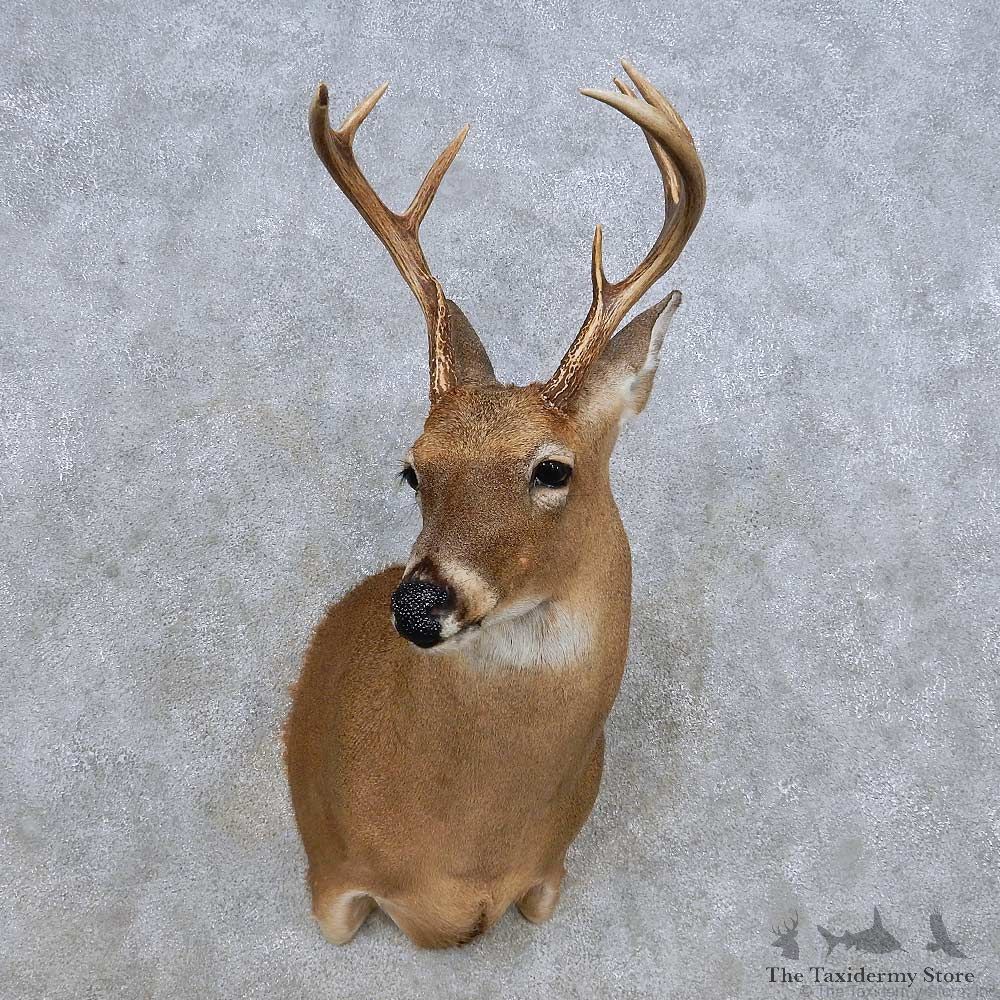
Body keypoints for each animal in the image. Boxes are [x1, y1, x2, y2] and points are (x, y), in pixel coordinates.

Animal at [283, 59, 706, 949]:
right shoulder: (331, 878)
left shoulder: (549, 880)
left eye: (553, 469)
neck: (463, 856)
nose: (417, 603)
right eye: (412, 469)